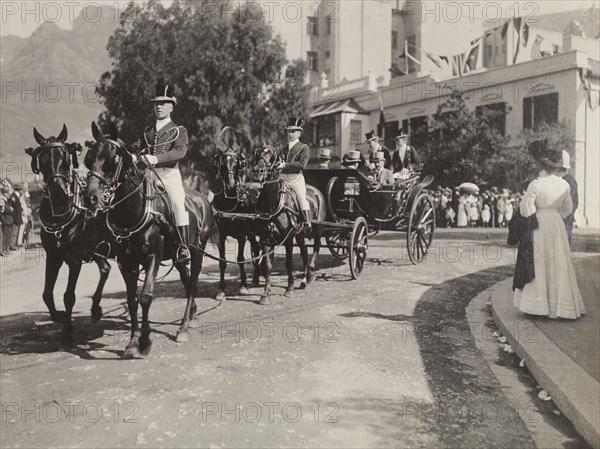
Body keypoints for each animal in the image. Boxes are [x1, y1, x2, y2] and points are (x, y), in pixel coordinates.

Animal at [24, 124, 113, 342]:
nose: (57, 191)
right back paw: (96, 309)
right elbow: (47, 294)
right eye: (42, 161)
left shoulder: (74, 259)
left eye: (66, 159)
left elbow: (68, 296)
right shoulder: (53, 256)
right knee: (105, 268)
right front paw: (60, 317)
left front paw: (67, 330)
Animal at [82, 121, 213, 356]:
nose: (90, 198)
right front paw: (133, 341)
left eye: (112, 160)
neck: (133, 211)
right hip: (178, 257)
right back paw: (193, 316)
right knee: (186, 279)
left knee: (192, 284)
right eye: (88, 159)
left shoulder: (153, 257)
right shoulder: (127, 263)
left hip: (197, 251)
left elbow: (145, 297)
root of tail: (201, 199)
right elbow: (132, 300)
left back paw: (183, 328)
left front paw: (144, 340)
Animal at [211, 128, 260, 300]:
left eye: (237, 163)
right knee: (256, 248)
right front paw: (221, 290)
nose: (231, 184)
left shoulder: (241, 234)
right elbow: (222, 261)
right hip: (252, 232)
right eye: (222, 163)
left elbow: (240, 259)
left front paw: (243, 286)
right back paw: (257, 278)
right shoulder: (220, 234)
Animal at [252, 145, 326, 302]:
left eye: (271, 155)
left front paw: (289, 288)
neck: (272, 203)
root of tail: (316, 191)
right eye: (258, 153)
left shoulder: (288, 238)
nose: (258, 170)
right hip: (300, 234)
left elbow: (289, 262)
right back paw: (303, 280)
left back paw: (310, 274)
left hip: (317, 228)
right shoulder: (266, 239)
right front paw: (265, 293)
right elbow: (268, 265)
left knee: (316, 247)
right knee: (304, 251)